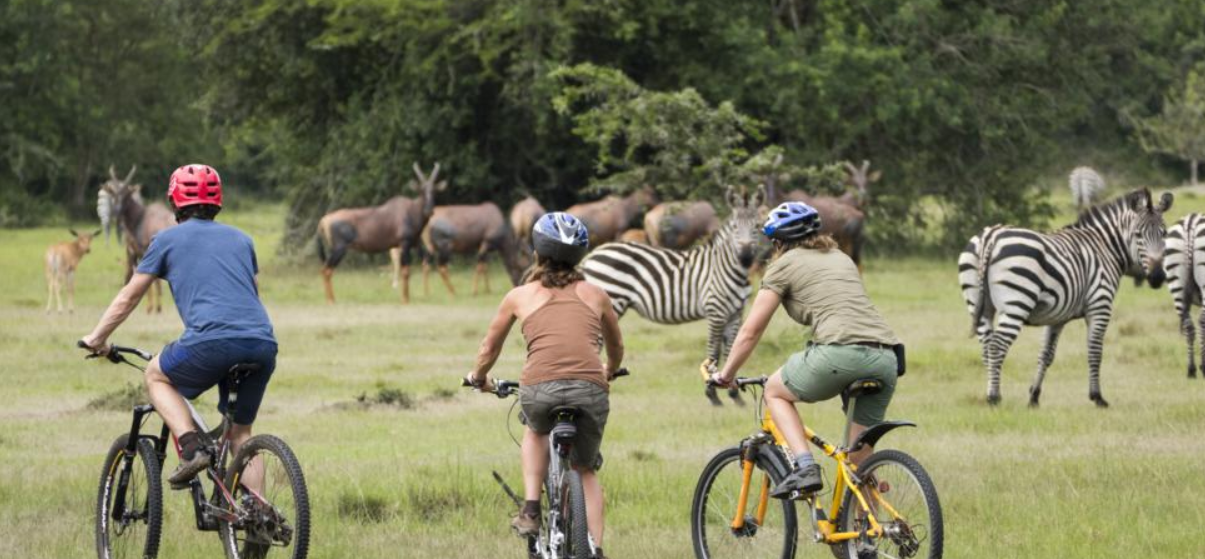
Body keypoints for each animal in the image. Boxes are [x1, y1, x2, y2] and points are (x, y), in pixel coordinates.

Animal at [318, 161, 445, 303]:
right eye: (421, 191)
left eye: (434, 190)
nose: (429, 211)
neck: (410, 210)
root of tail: (325, 220)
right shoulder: (404, 244)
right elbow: (406, 271)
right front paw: (405, 300)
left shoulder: (415, 244)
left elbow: (421, 265)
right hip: (339, 249)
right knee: (326, 270)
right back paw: (331, 301)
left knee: (326, 270)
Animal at [580, 185, 766, 404]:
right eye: (735, 227)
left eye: (757, 227)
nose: (745, 258)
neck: (725, 267)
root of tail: (593, 254)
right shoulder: (716, 310)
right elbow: (713, 352)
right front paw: (712, 393)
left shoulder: (735, 313)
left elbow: (731, 351)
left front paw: (734, 394)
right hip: (610, 300)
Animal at [954, 190, 1171, 407]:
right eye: (1138, 234)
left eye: (1165, 233)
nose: (1157, 277)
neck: (1105, 249)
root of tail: (990, 236)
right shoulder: (1099, 306)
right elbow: (1095, 352)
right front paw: (1097, 397)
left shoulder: (1057, 317)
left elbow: (1046, 355)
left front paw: (1034, 397)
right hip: (1017, 303)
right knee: (997, 346)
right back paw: (994, 397)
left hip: (979, 305)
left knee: (986, 347)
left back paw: (990, 393)